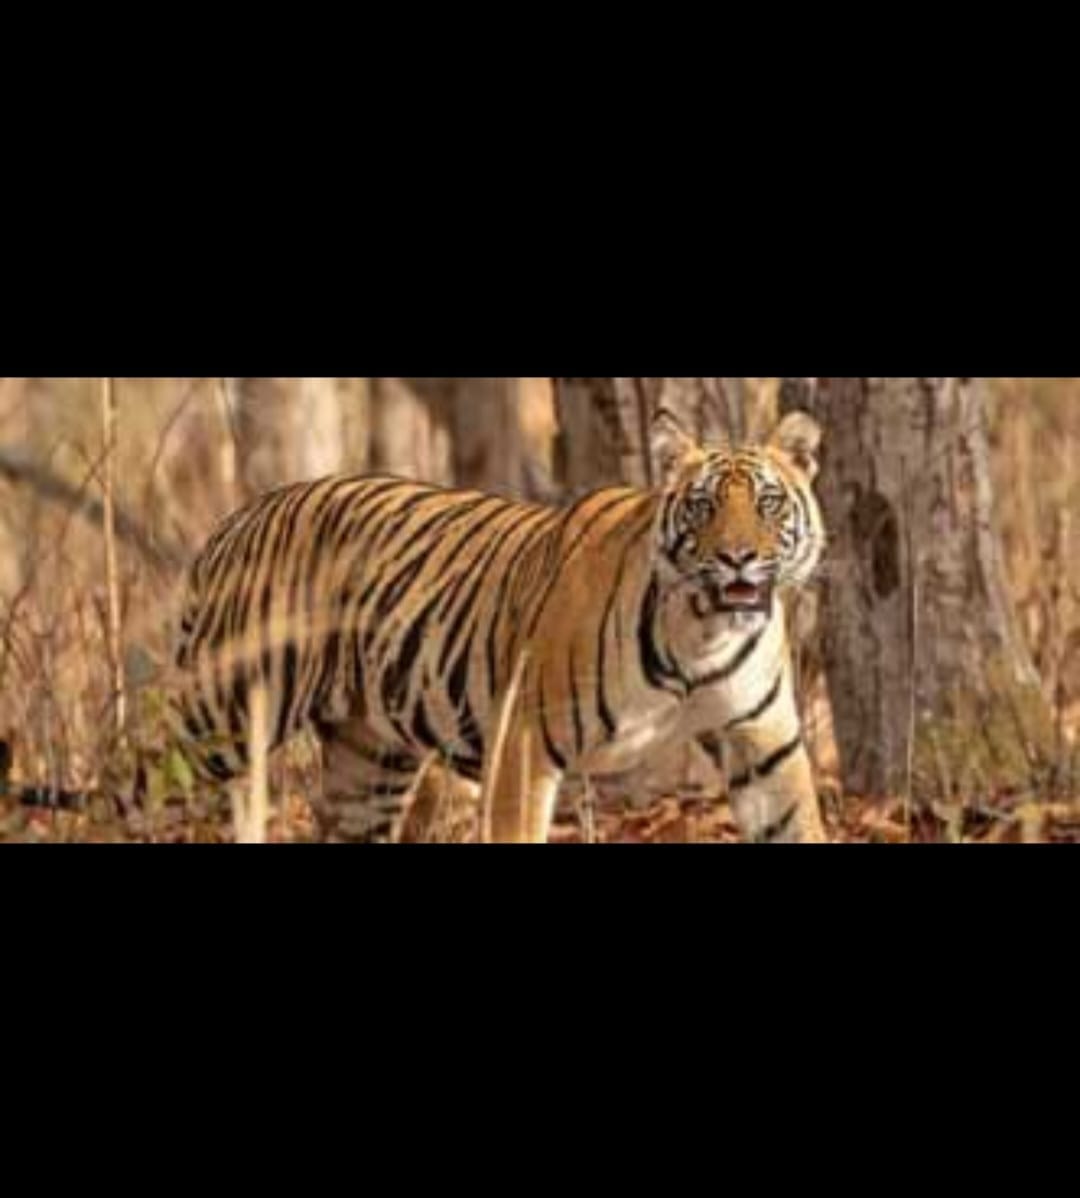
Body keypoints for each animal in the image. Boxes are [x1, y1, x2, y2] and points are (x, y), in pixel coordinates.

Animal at [169, 408, 828, 844]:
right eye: (703, 506)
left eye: (768, 504)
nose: (737, 557)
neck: (703, 634)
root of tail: (236, 518)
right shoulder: (524, 741)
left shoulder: (765, 743)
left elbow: (798, 823)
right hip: (224, 714)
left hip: (368, 762)